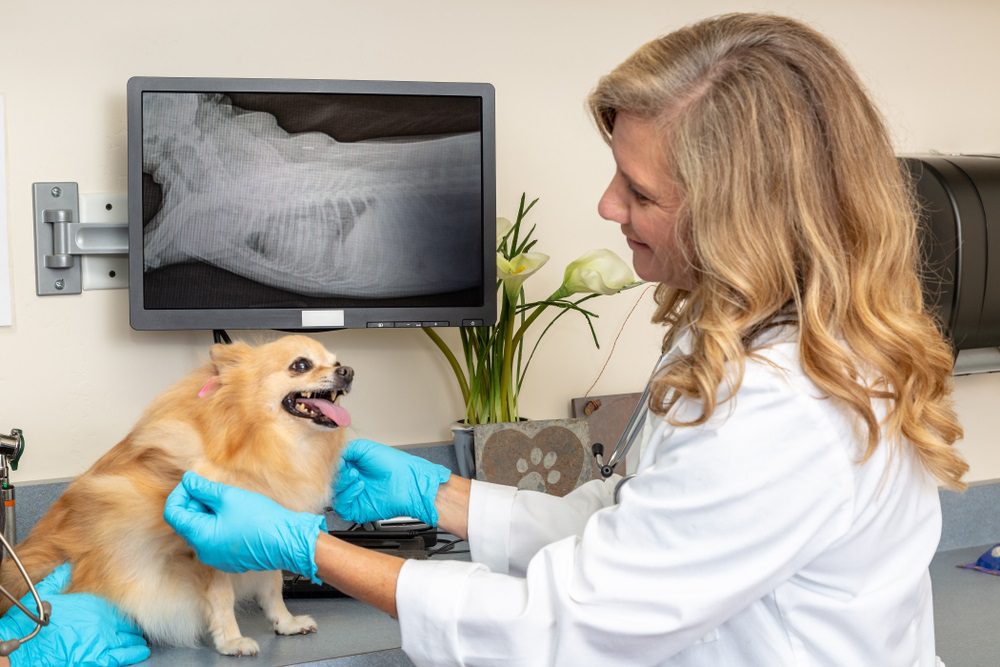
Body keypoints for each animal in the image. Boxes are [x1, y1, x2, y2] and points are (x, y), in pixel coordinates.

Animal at [0, 336, 356, 656]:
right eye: (301, 365)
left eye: (336, 361)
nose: (348, 371)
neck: (267, 446)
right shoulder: (206, 551)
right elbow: (222, 598)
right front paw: (231, 641)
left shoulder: (266, 532)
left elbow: (273, 586)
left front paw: (286, 622)